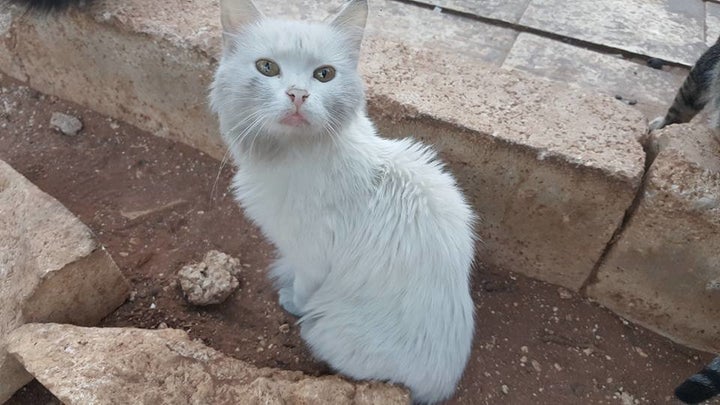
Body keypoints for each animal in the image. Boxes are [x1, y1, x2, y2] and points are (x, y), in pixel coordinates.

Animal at [210, 0, 478, 400]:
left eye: (324, 75)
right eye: (267, 67)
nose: (297, 94)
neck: (291, 154)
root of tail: (442, 385)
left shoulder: (313, 257)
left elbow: (303, 289)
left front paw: (292, 302)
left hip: (327, 328)